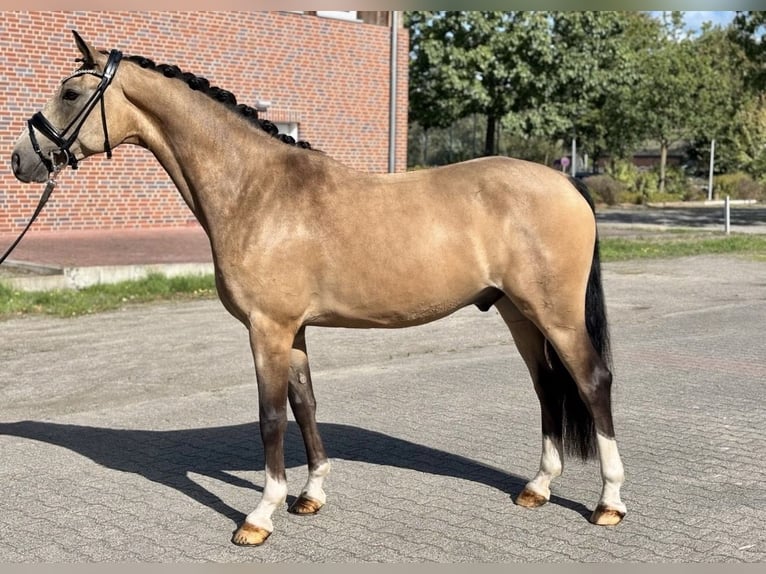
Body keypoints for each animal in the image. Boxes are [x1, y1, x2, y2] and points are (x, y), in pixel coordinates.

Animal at [10, 31, 626, 546]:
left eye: (70, 92)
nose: (20, 159)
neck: (255, 190)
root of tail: (565, 181)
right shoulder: (295, 329)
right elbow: (305, 404)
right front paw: (310, 495)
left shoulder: (268, 329)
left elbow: (270, 417)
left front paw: (260, 515)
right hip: (518, 312)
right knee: (548, 388)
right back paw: (538, 487)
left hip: (555, 314)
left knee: (592, 382)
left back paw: (608, 503)